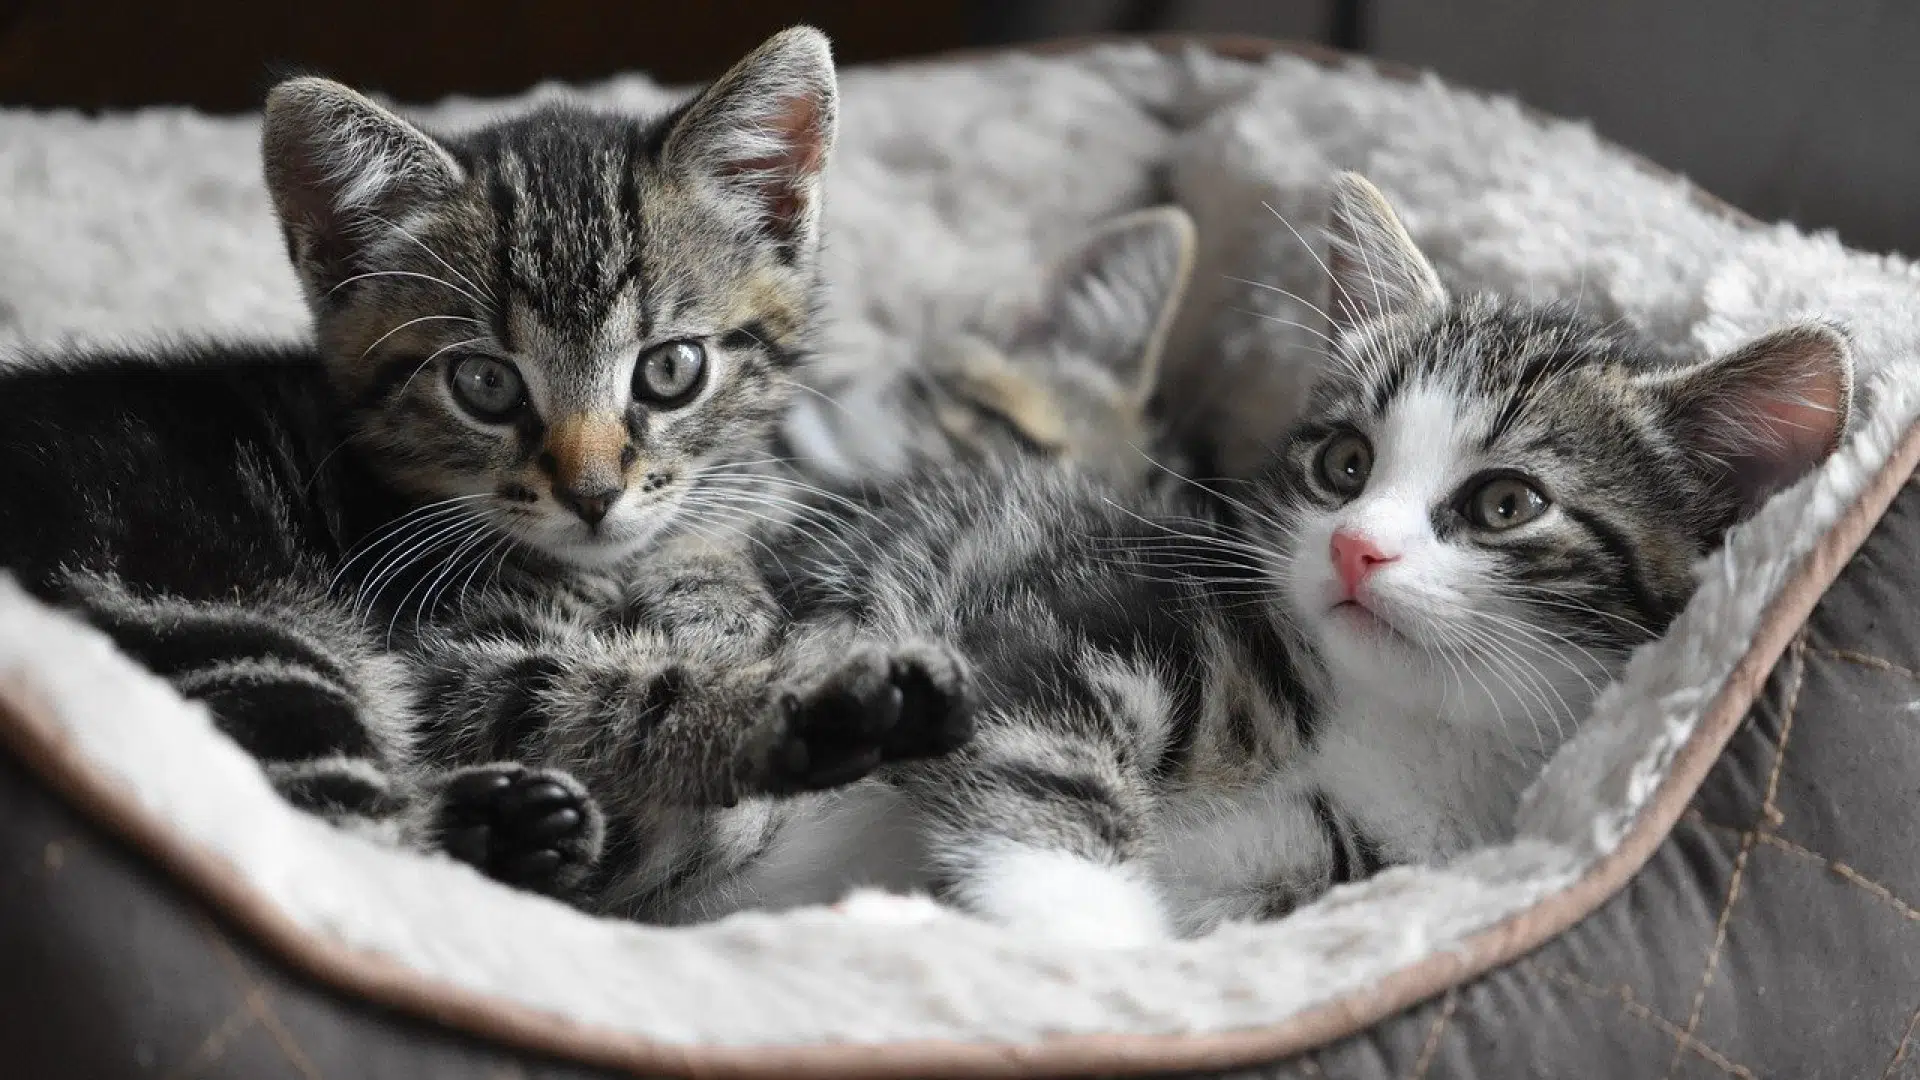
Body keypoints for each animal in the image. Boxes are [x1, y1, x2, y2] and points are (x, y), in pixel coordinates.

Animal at [0, 31, 944, 891]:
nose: (592, 494)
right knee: (347, 863)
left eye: (671, 369)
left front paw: (717, 594)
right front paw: (795, 700)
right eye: (486, 384)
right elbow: (603, 697)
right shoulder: (438, 661)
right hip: (218, 628)